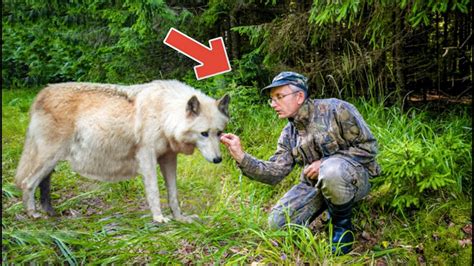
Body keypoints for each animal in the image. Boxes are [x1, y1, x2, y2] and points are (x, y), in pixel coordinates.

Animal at [14, 80, 230, 223]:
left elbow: (173, 194)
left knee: (42, 184)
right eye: (203, 133)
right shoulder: (147, 157)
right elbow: (154, 191)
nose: (218, 159)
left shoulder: (169, 158)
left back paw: (50, 212)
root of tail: (42, 93)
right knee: (27, 183)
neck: (164, 114)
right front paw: (159, 218)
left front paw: (180, 218)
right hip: (49, 158)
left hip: (52, 162)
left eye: (219, 133)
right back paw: (33, 213)